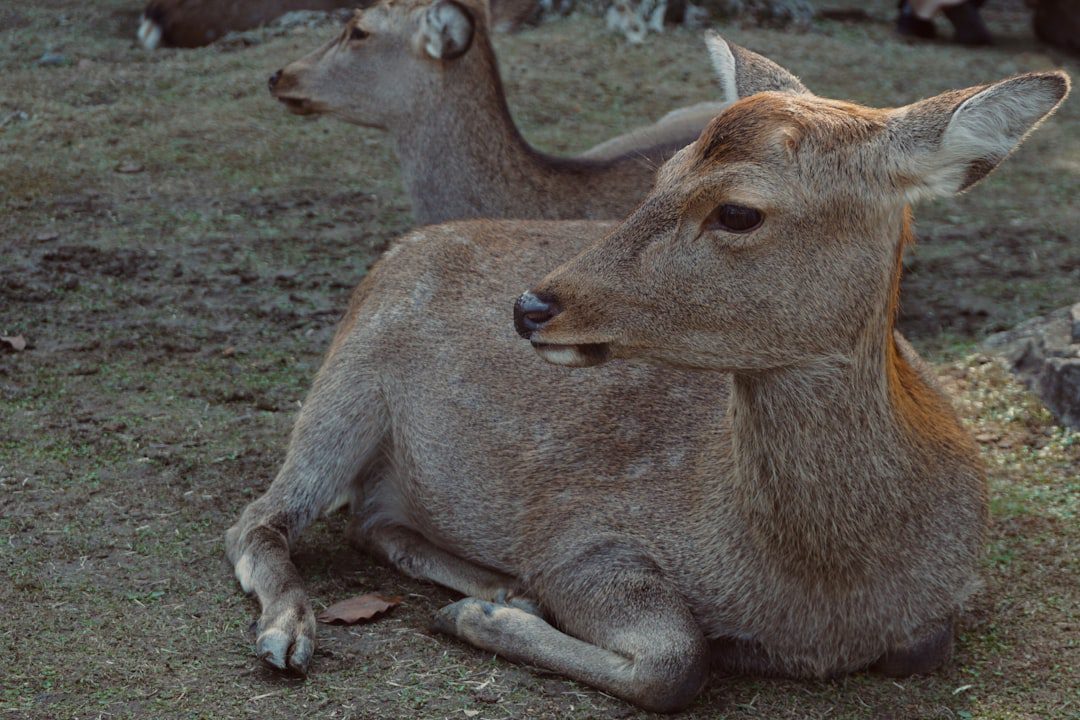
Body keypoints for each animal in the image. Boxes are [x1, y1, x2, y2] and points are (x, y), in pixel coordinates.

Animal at [225, 33, 1069, 712]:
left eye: (739, 211)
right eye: (662, 173)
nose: (531, 304)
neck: (819, 594)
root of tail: (408, 242)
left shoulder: (945, 598)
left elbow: (926, 646)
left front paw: (495, 605)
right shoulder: (578, 527)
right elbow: (677, 659)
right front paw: (485, 619)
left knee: (369, 522)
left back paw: (490, 584)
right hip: (347, 378)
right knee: (259, 517)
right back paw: (297, 631)